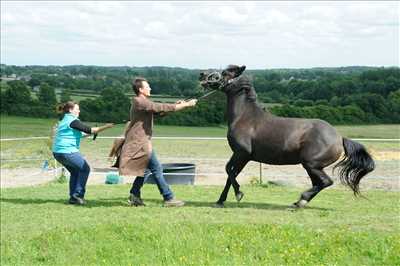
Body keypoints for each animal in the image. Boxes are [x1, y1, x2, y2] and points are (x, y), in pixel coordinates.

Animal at [199, 65, 376, 209]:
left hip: (311, 165)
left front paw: (238, 194)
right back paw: (299, 202)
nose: (202, 75)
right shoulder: (244, 157)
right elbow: (231, 174)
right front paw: (221, 200)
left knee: (325, 182)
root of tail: (339, 137)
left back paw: (301, 201)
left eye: (225, 73)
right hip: (312, 167)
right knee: (318, 183)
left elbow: (228, 170)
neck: (245, 117)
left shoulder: (241, 153)